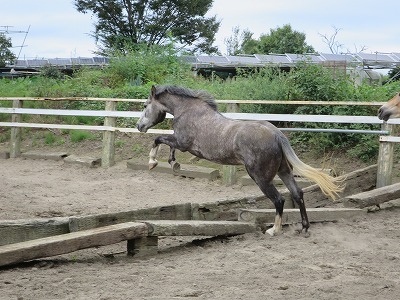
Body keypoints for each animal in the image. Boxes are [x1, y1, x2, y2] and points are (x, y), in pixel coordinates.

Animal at [138, 85, 344, 237]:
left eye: (146, 105)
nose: (139, 126)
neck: (188, 111)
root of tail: (276, 134)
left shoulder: (182, 143)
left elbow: (159, 139)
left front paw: (153, 162)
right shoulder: (179, 143)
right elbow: (166, 144)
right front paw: (173, 163)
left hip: (260, 177)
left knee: (279, 199)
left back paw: (274, 230)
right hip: (284, 171)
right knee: (297, 194)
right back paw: (304, 228)